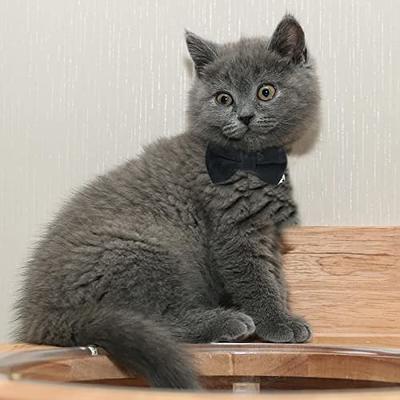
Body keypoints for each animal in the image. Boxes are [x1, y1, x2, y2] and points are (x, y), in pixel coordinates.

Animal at [15, 15, 320, 390]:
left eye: (266, 91)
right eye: (223, 99)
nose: (245, 116)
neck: (249, 163)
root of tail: (39, 319)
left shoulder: (267, 232)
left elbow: (275, 276)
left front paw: (283, 315)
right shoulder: (235, 231)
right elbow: (255, 278)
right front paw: (278, 323)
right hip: (152, 250)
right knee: (159, 320)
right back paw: (226, 323)